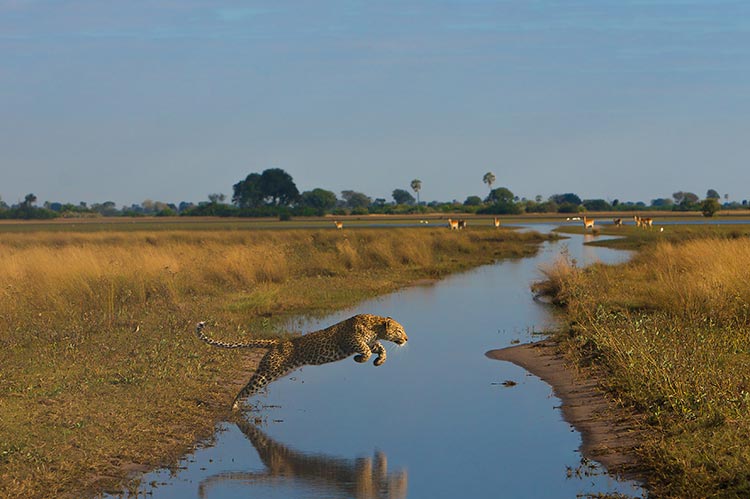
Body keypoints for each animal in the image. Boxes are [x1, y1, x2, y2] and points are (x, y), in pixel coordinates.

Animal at [195, 314, 408, 410]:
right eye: (399, 331)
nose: (407, 339)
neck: (376, 326)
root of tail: (276, 343)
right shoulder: (350, 340)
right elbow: (365, 348)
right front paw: (361, 358)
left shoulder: (371, 342)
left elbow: (381, 348)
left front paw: (379, 361)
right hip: (265, 373)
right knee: (245, 388)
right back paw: (234, 407)